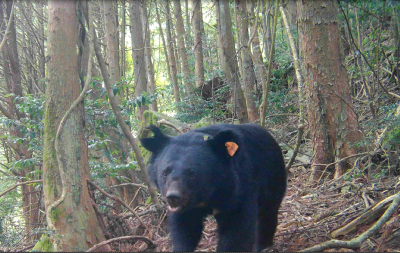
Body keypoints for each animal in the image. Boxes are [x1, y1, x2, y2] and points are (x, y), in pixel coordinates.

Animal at [139, 123, 286, 251]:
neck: (208, 195)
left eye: (192, 174)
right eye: (165, 173)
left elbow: (237, 229)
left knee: (268, 211)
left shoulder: (238, 189)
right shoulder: (187, 210)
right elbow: (185, 230)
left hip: (272, 176)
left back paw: (262, 245)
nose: (173, 197)